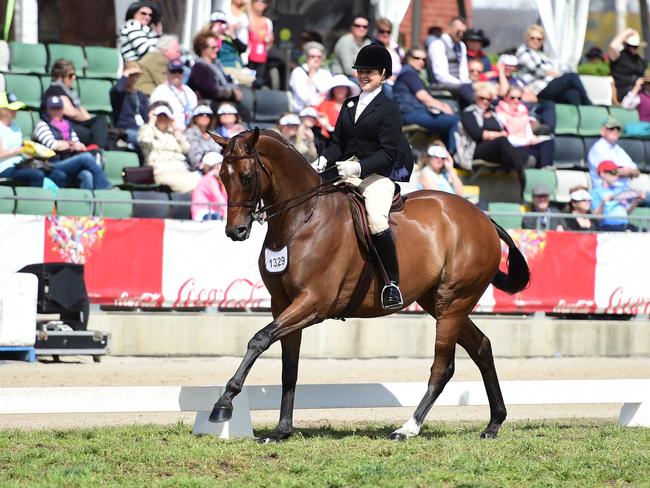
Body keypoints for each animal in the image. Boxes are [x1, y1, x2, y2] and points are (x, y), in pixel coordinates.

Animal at [208, 127, 528, 440]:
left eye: (246, 176)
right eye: (222, 176)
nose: (235, 231)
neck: (301, 219)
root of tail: (484, 219)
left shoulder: (313, 303)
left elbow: (259, 339)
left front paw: (223, 404)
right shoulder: (282, 303)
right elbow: (289, 368)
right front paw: (281, 430)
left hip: (453, 302)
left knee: (443, 367)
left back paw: (408, 428)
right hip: (438, 302)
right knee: (482, 347)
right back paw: (494, 423)